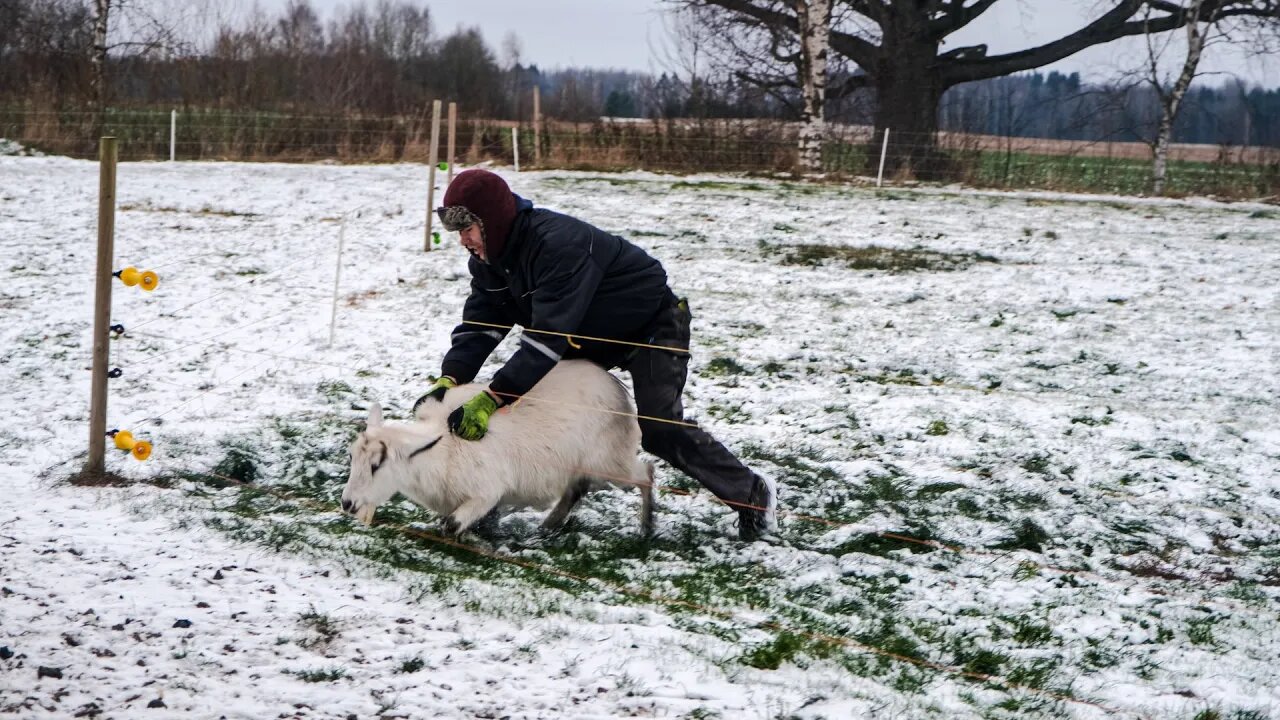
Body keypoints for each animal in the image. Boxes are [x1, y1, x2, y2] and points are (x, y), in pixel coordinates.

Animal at [340, 358, 655, 532]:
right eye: (352, 459)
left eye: (377, 465)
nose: (347, 504)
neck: (442, 448)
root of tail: (616, 386)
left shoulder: (486, 492)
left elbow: (451, 524)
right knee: (575, 490)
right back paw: (547, 528)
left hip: (609, 461)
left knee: (646, 474)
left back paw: (646, 528)